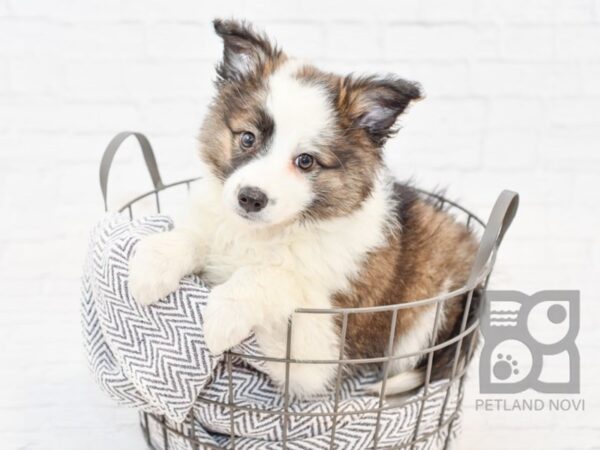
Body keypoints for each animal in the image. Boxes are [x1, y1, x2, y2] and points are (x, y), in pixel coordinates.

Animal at [129, 18, 480, 398]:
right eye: (248, 138)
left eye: (306, 161)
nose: (250, 198)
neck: (269, 233)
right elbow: (194, 236)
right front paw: (150, 270)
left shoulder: (318, 353)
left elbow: (273, 277)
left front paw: (223, 316)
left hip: (428, 313)